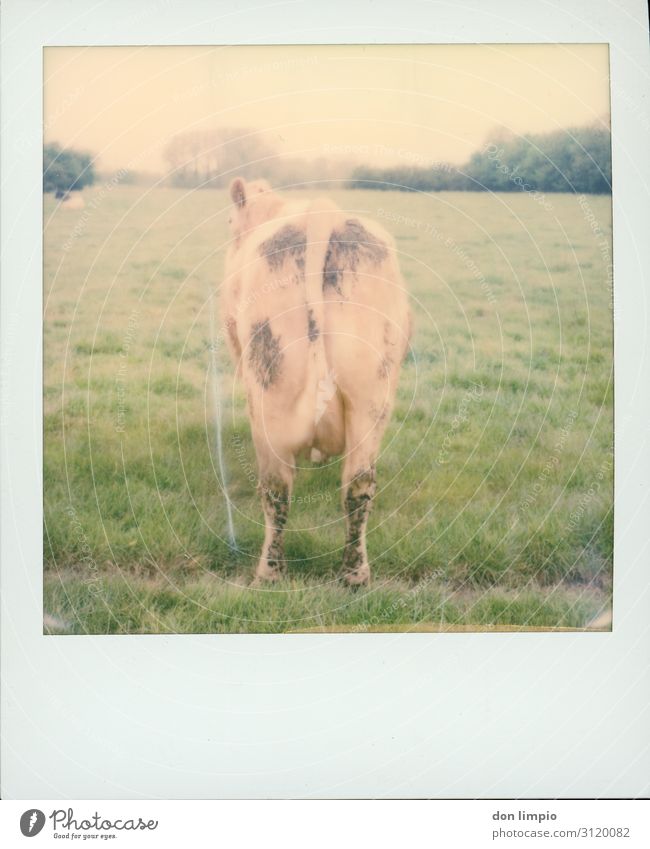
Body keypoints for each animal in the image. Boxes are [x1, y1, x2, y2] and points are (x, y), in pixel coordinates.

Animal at [220, 178, 408, 584]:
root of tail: (324, 213)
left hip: (268, 384)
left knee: (276, 487)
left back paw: (269, 572)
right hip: (372, 392)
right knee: (358, 483)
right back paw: (355, 574)